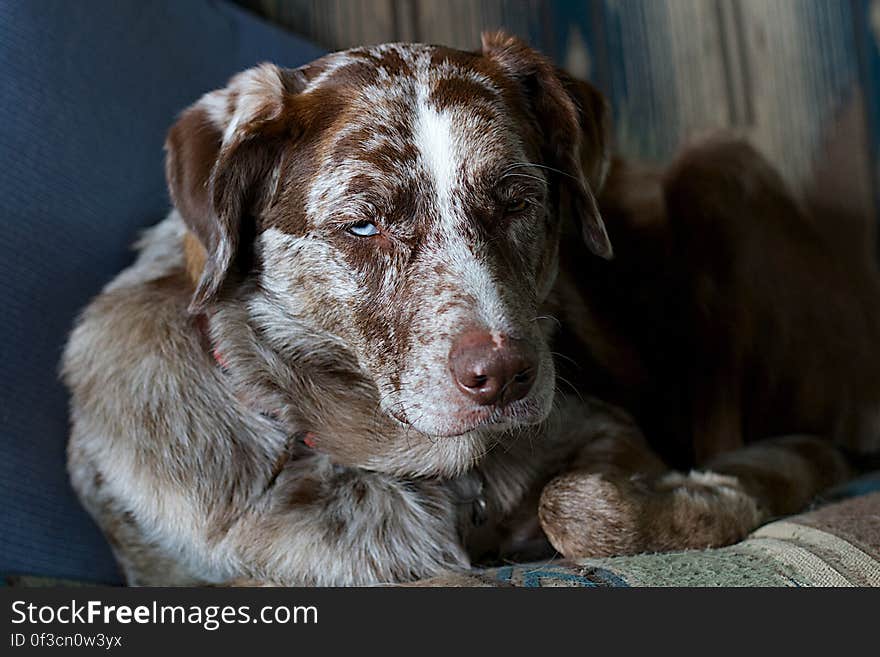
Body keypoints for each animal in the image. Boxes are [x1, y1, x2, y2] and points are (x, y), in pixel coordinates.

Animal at [62, 32, 880, 584]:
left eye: (515, 200)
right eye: (363, 223)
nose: (507, 375)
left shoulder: (609, 432)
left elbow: (581, 507)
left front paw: (709, 493)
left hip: (717, 167)